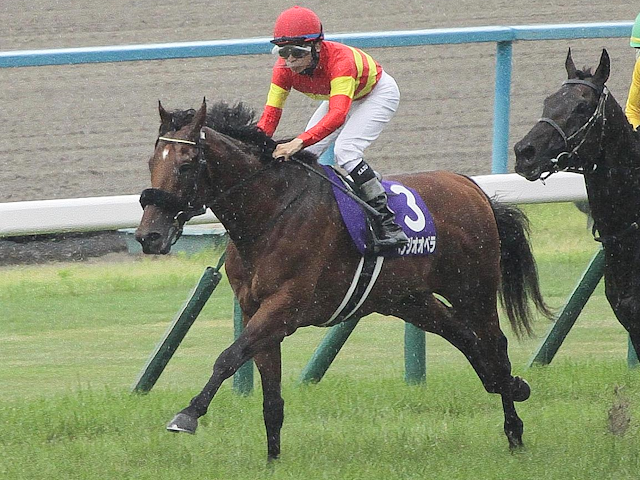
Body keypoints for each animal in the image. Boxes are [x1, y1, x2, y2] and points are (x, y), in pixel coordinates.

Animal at [135, 98, 552, 460]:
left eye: (187, 164)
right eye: (152, 161)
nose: (147, 235)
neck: (271, 212)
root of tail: (471, 186)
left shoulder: (285, 308)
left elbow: (228, 357)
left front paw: (187, 415)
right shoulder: (257, 310)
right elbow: (270, 395)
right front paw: (272, 460)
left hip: (473, 288)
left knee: (494, 344)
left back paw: (514, 430)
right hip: (410, 300)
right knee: (466, 338)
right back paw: (512, 386)